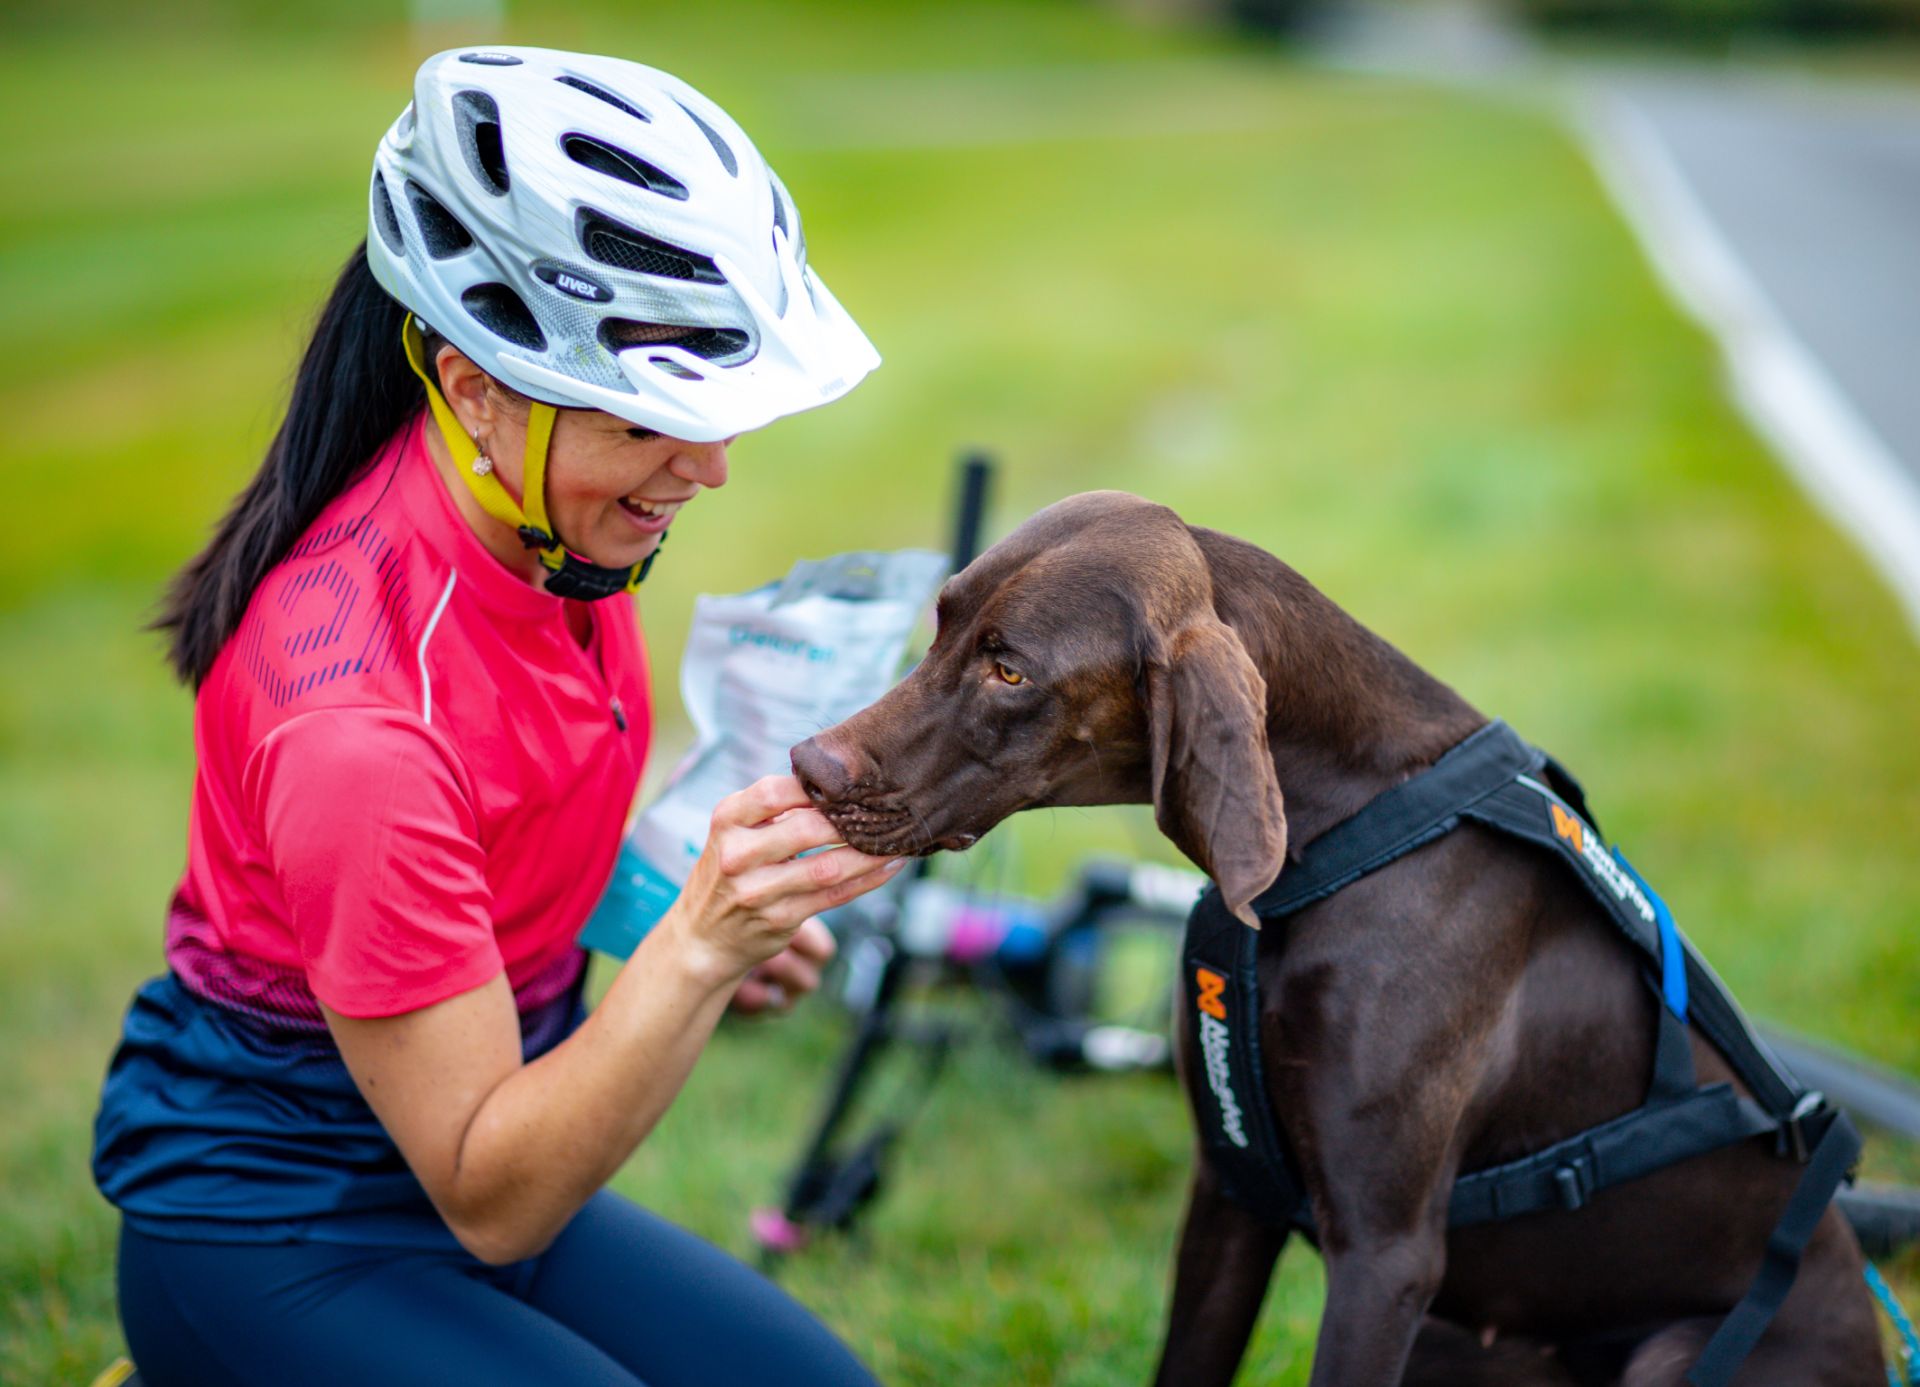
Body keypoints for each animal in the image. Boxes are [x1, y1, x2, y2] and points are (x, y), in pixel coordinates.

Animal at [787, 495, 1881, 1383]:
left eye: (1011, 669)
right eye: (941, 621)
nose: (807, 763)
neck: (1346, 833)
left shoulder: (1383, 1255)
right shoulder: (1229, 1195)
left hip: (1667, 1352)